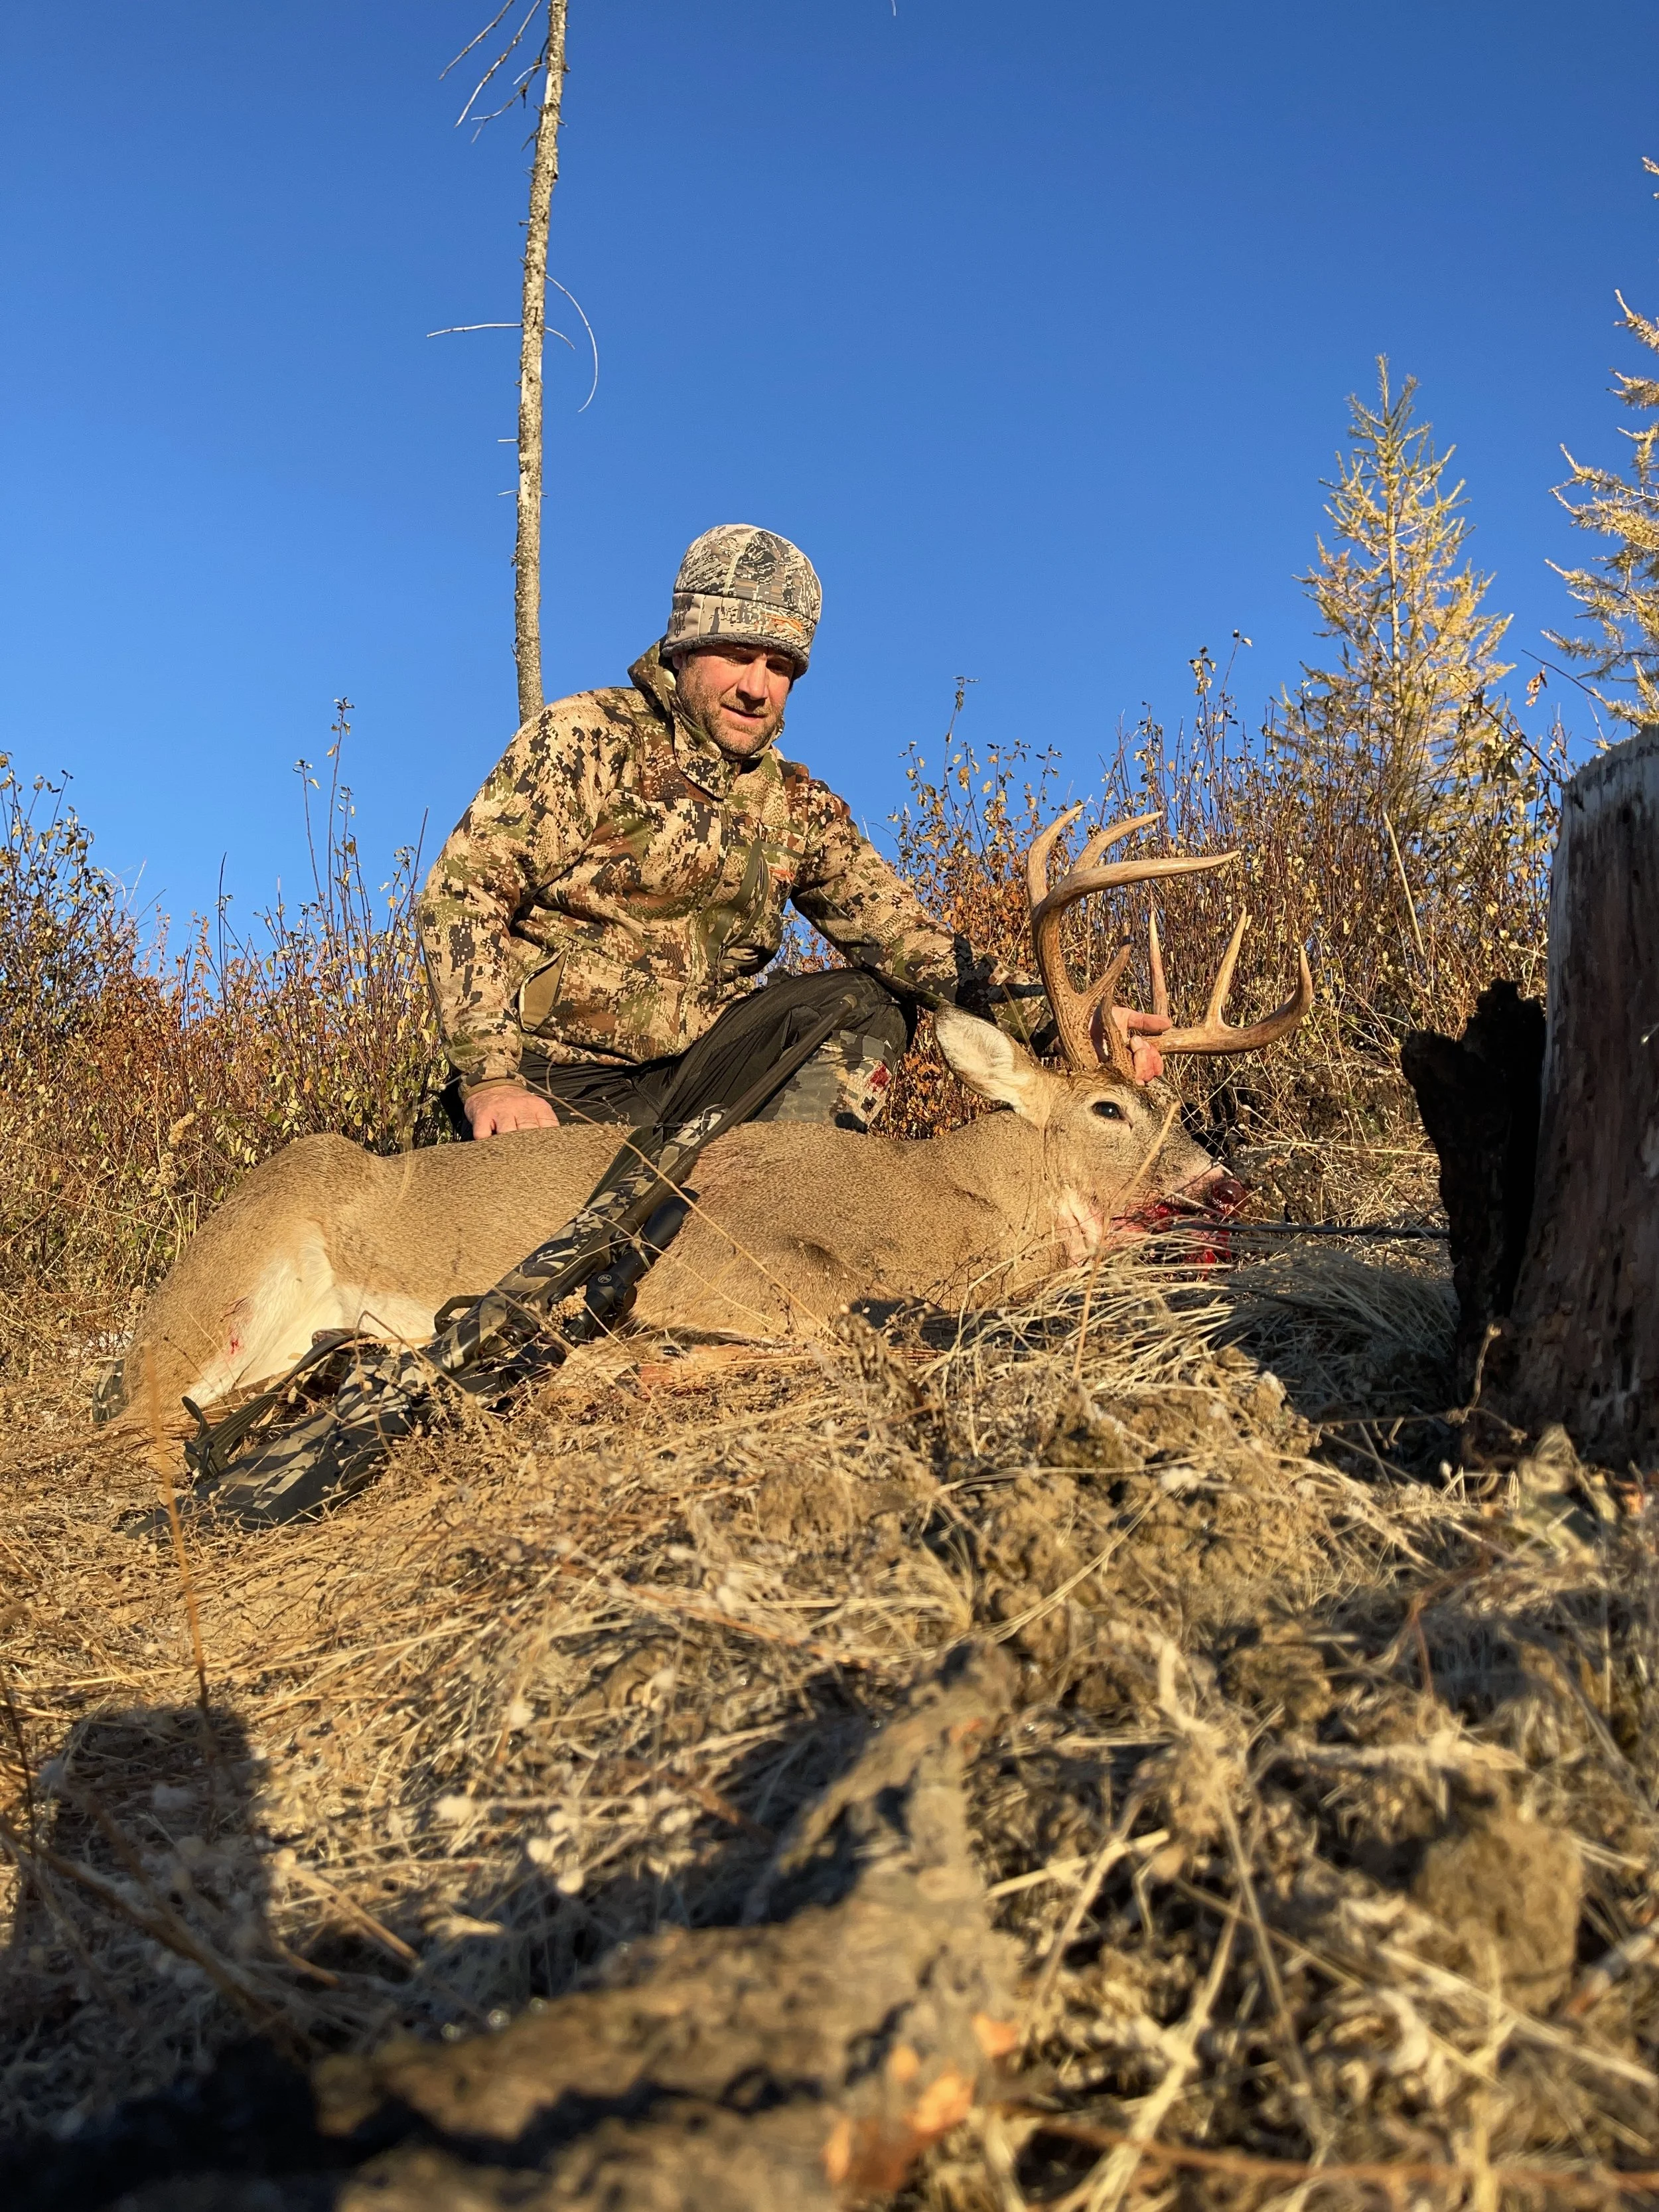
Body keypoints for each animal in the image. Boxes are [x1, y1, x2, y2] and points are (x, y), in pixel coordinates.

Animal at [105, 810, 1313, 1424]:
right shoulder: (732, 1259)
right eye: (1108, 1106)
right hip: (236, 1274)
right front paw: (640, 1367)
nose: (1225, 1182)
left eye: (1176, 1103)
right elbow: (845, 1327)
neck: (949, 1203)